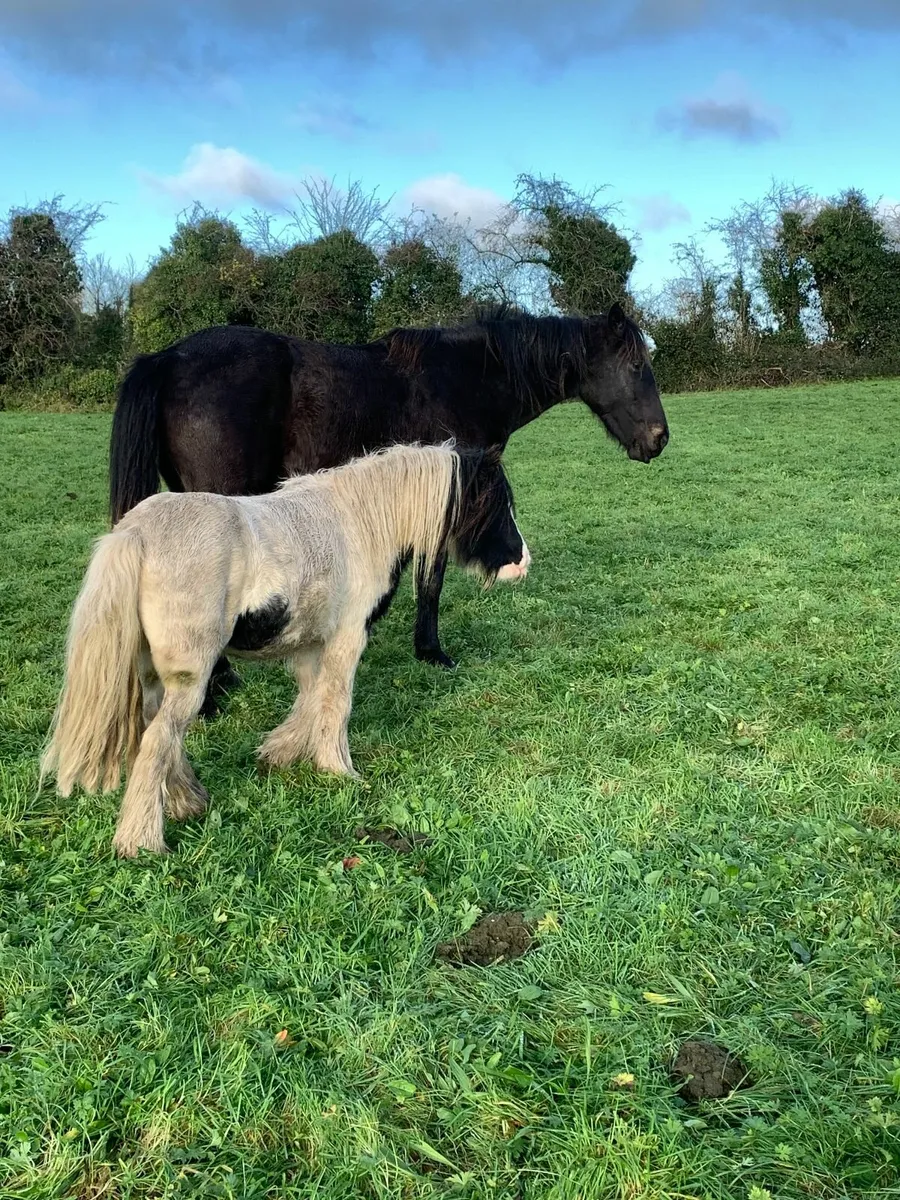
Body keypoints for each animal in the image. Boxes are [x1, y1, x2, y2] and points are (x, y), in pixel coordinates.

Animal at [41, 443, 529, 858]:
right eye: (498, 502)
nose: (522, 562)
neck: (358, 523)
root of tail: (136, 533)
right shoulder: (348, 638)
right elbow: (336, 701)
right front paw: (338, 769)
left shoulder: (310, 645)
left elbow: (312, 697)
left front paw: (282, 752)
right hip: (190, 678)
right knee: (160, 738)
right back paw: (142, 840)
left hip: (153, 676)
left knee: (154, 731)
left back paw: (188, 801)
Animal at [109, 301, 668, 710]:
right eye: (636, 365)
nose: (660, 439)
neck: (467, 378)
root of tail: (169, 358)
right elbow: (430, 580)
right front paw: (431, 652)